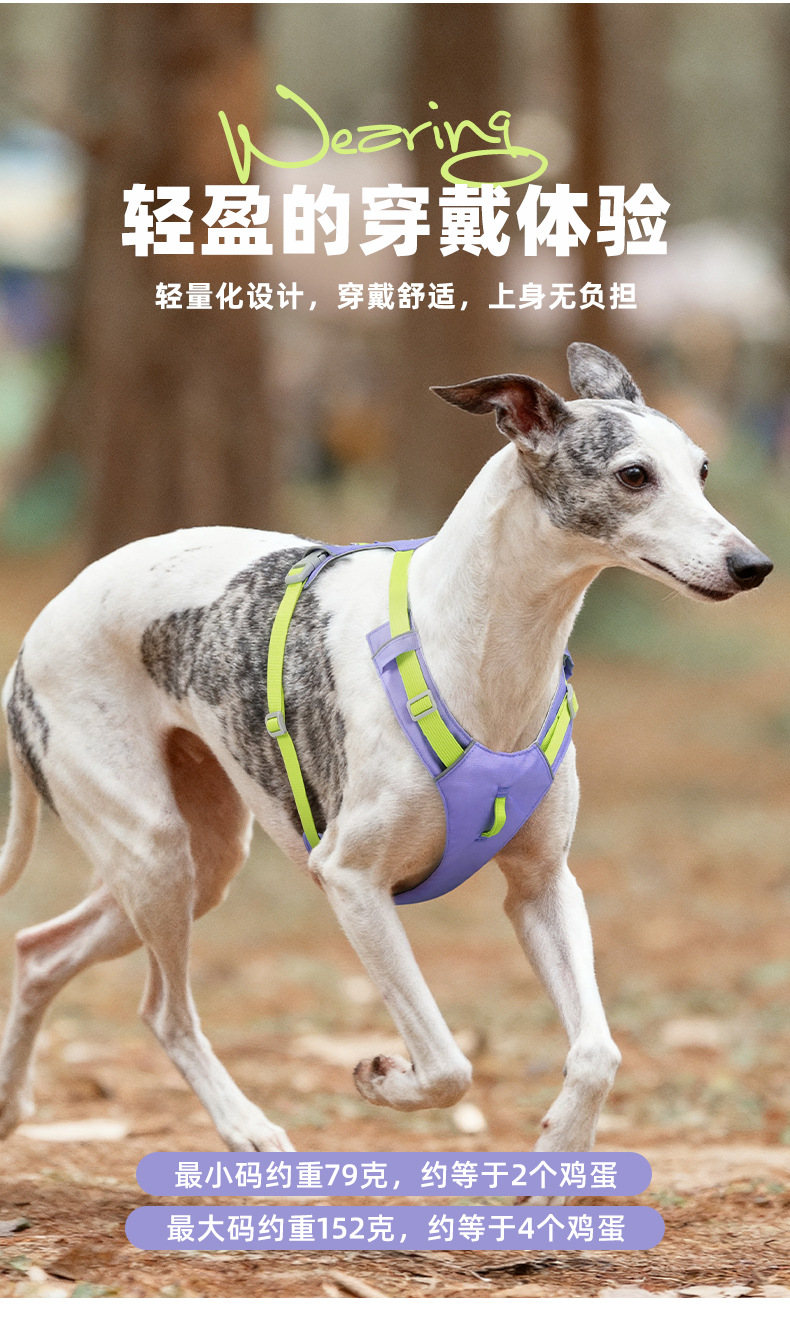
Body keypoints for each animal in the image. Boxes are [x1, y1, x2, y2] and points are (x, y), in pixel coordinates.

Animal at [0, 342, 772, 1157]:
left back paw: (12, 1103)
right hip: (153, 852)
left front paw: (562, 1146)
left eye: (703, 469)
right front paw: (384, 1080)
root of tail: (33, 635)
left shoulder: (542, 886)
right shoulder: (351, 881)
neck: (478, 652)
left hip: (198, 861)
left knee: (41, 950)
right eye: (633, 475)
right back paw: (247, 1127)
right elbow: (448, 1066)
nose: (753, 565)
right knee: (163, 1010)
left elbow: (598, 1052)